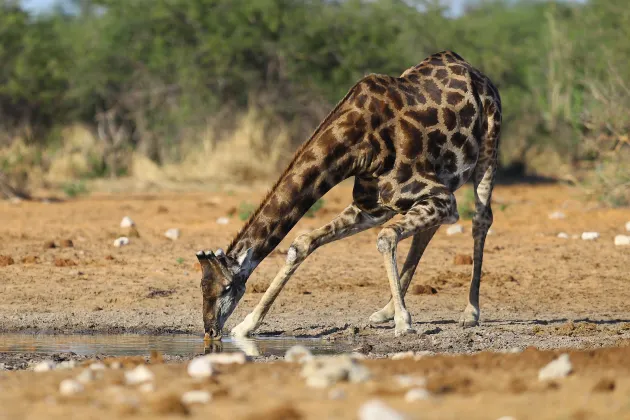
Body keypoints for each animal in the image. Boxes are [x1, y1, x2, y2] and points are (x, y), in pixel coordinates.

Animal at [198, 50, 504, 338]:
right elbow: (302, 243)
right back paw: (385, 311)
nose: (210, 329)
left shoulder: (440, 197)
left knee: (481, 219)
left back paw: (470, 312)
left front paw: (404, 322)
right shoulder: (373, 208)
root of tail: (474, 71)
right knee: (427, 231)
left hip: (488, 146)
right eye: (202, 285)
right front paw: (246, 326)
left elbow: (386, 238)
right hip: (441, 181)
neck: (356, 145)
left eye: (227, 287)